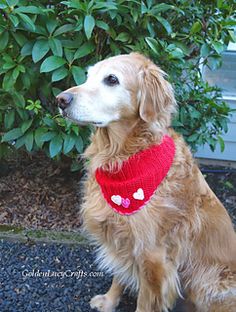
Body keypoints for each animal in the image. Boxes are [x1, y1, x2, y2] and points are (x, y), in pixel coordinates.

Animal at [57, 52, 236, 310]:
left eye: (111, 79)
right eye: (88, 76)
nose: (61, 100)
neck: (124, 156)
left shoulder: (153, 257)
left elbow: (145, 300)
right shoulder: (122, 238)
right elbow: (119, 274)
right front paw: (109, 301)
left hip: (208, 283)